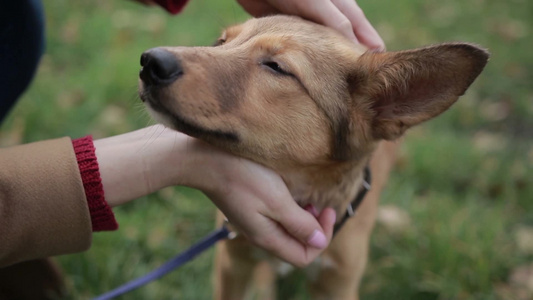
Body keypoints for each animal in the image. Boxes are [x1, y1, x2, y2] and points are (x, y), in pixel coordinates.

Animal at [139, 15, 488, 300]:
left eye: (276, 67)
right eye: (221, 42)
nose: (149, 62)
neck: (302, 194)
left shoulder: (338, 285)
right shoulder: (232, 263)